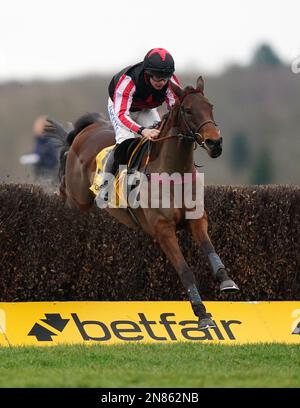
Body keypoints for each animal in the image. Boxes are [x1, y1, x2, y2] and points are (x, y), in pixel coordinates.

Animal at [44, 76, 239, 330]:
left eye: (210, 107)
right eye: (188, 110)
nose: (215, 143)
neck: (172, 173)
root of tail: (87, 129)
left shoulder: (197, 219)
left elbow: (210, 249)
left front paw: (227, 281)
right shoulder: (163, 230)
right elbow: (185, 270)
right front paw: (202, 313)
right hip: (78, 198)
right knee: (66, 192)